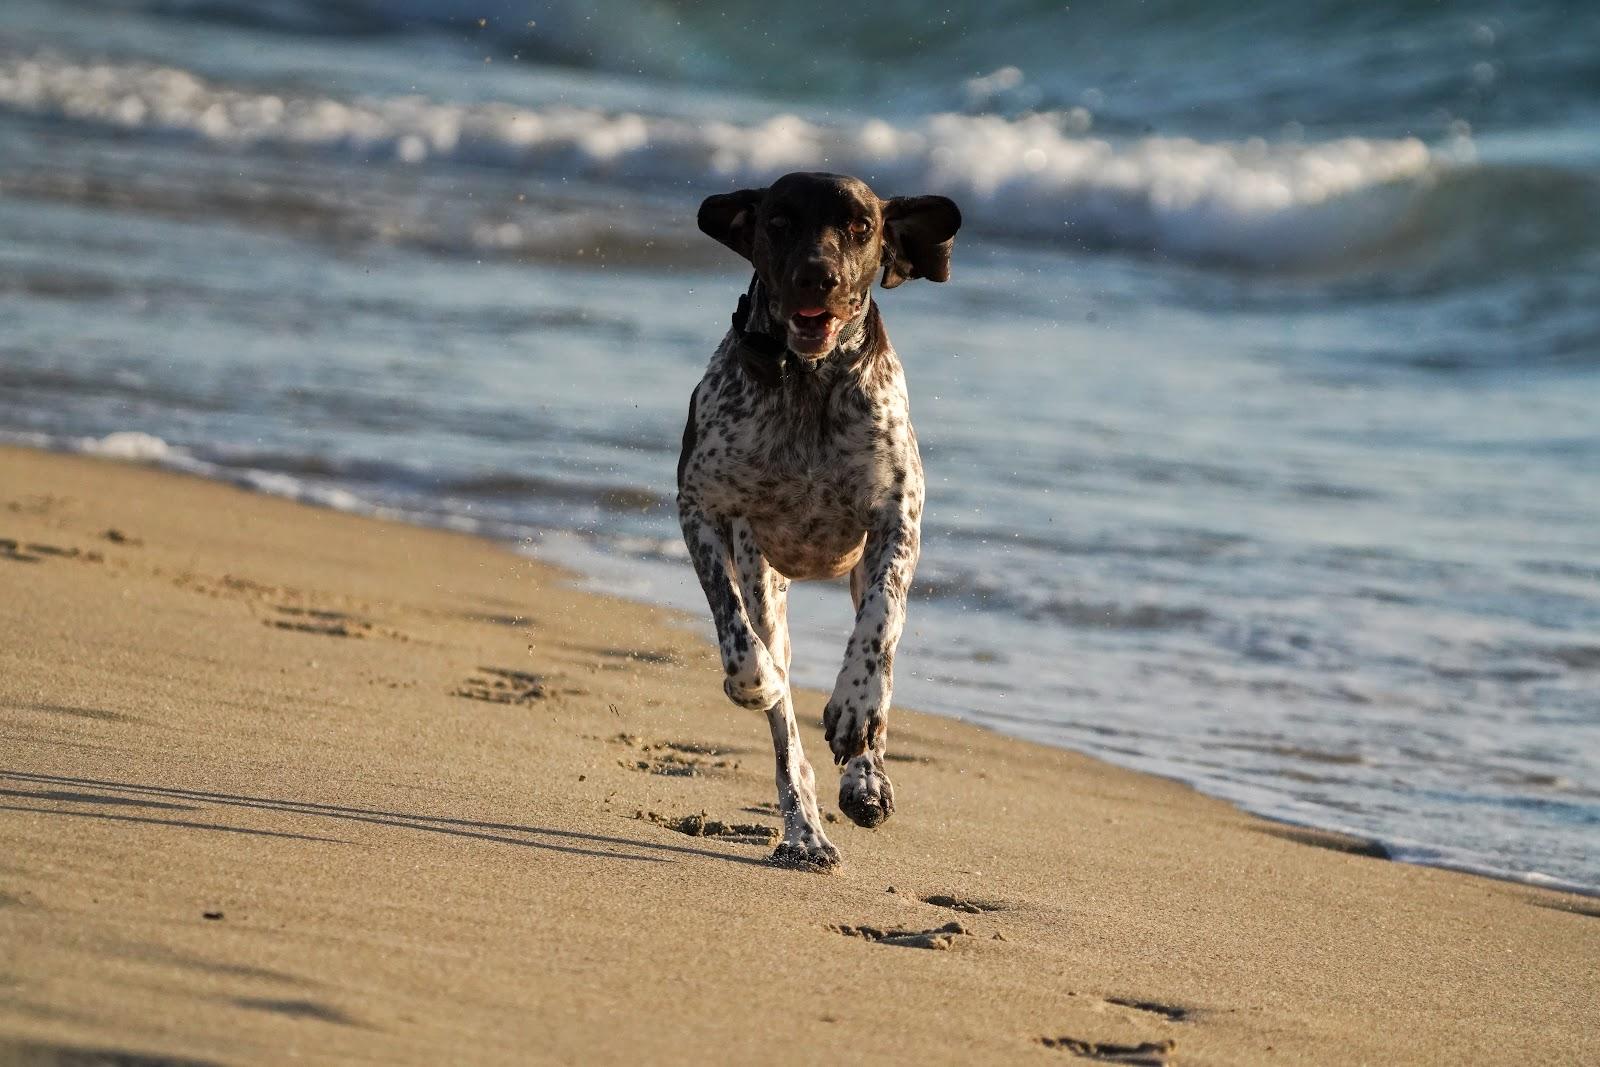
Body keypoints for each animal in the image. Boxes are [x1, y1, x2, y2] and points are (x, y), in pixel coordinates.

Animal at [678, 167, 960, 870]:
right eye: (779, 222)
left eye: (861, 227)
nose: (817, 276)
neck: (808, 379)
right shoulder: (700, 506)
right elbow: (737, 635)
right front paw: (755, 681)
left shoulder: (897, 521)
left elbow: (881, 625)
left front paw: (857, 709)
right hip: (765, 582)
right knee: (787, 740)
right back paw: (803, 831)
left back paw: (866, 779)